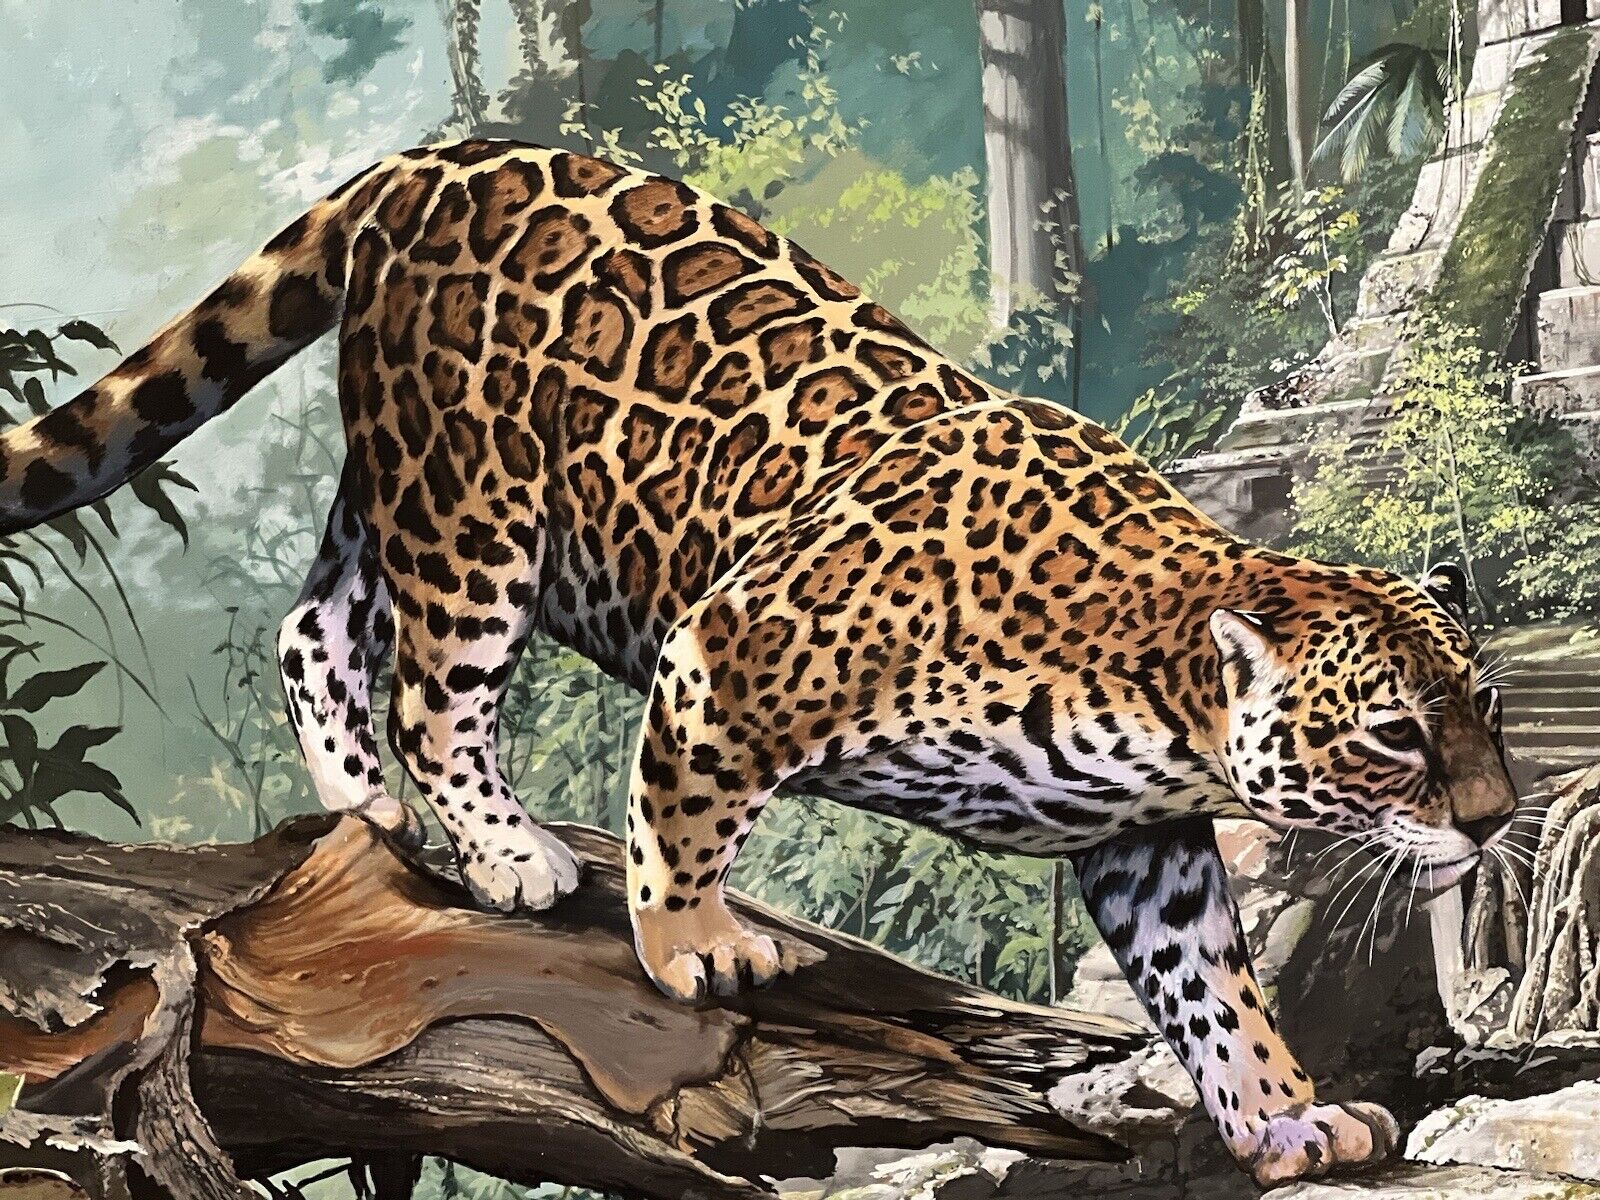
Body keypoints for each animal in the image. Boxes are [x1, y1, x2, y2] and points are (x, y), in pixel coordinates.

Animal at [0, 139, 1516, 1187]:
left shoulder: (1144, 845)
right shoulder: (728, 649)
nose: (1500, 820)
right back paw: (503, 854)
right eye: (1392, 733)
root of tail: (432, 158)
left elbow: (1214, 985)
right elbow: (680, 815)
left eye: (1486, 705)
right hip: (472, 502)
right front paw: (696, 947)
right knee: (435, 689)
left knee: (316, 625)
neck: (1157, 688)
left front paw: (1282, 1114)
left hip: (402, 495)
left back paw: (368, 812)